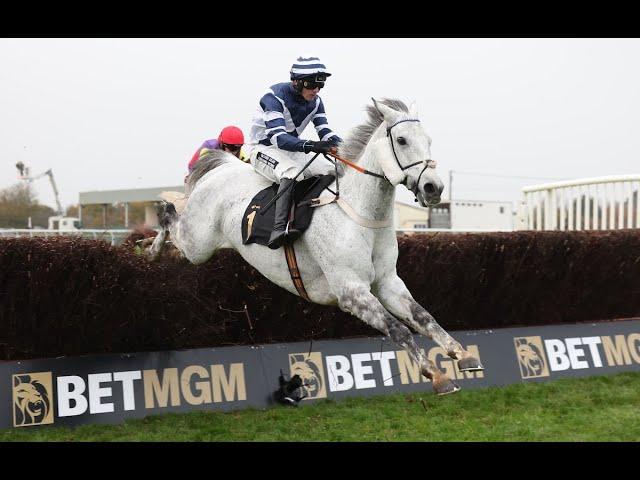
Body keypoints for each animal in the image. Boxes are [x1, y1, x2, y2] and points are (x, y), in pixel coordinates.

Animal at [151, 97, 484, 394]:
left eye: (428, 140)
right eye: (401, 140)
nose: (433, 188)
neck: (360, 215)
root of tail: (222, 166)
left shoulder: (388, 282)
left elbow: (424, 317)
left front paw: (464, 355)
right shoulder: (351, 291)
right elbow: (398, 329)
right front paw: (436, 375)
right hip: (198, 244)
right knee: (171, 217)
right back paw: (153, 247)